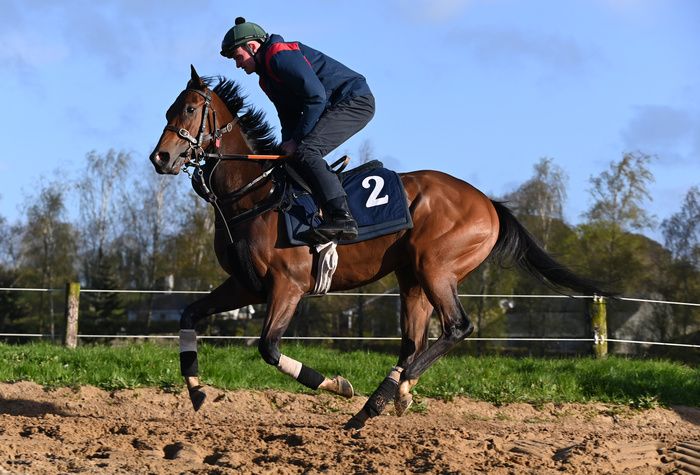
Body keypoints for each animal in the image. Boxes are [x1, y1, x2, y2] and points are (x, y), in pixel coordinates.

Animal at [149, 65, 608, 430]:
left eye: (190, 110)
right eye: (168, 110)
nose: (161, 157)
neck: (254, 193)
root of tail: (488, 204)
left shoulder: (287, 287)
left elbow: (269, 348)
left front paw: (337, 385)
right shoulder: (246, 285)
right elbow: (189, 314)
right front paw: (195, 390)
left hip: (436, 267)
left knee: (456, 327)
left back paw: (386, 396)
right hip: (412, 277)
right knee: (414, 343)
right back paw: (388, 397)